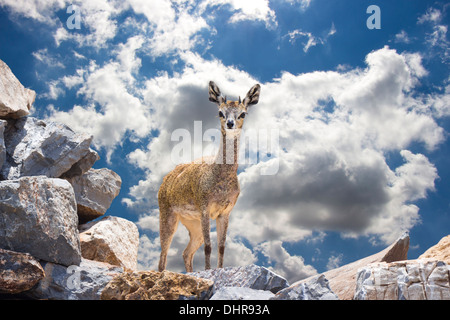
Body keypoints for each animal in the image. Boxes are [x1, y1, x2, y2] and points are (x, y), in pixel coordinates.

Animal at [157, 81, 260, 272]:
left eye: (243, 113)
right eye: (220, 112)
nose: (230, 123)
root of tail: (166, 179)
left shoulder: (225, 213)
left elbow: (221, 247)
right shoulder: (205, 209)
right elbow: (208, 246)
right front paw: (207, 271)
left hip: (193, 224)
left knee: (186, 252)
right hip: (168, 215)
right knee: (163, 256)